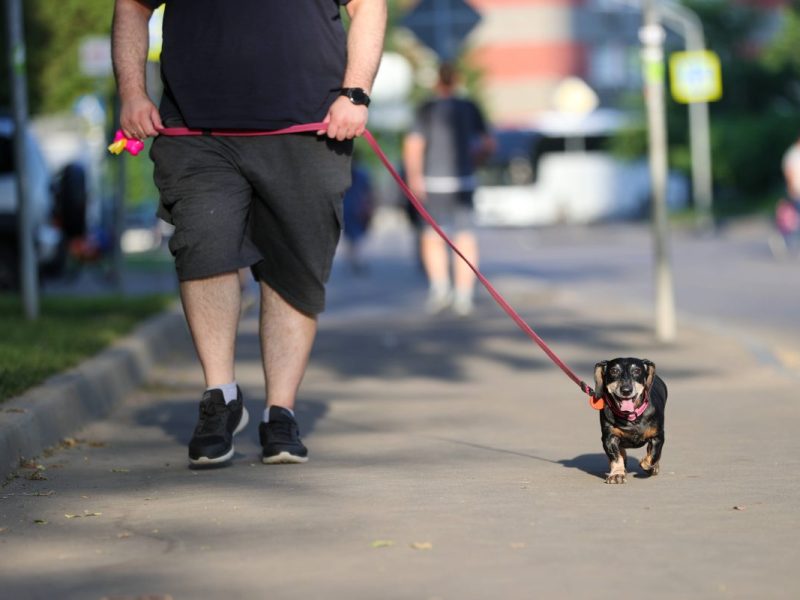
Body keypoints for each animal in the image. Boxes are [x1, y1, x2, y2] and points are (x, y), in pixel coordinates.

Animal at [592, 358, 668, 486]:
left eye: (637, 370)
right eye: (614, 371)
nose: (626, 390)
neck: (631, 417)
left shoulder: (658, 436)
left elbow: (654, 454)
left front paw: (646, 464)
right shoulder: (609, 437)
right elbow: (616, 457)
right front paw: (617, 474)